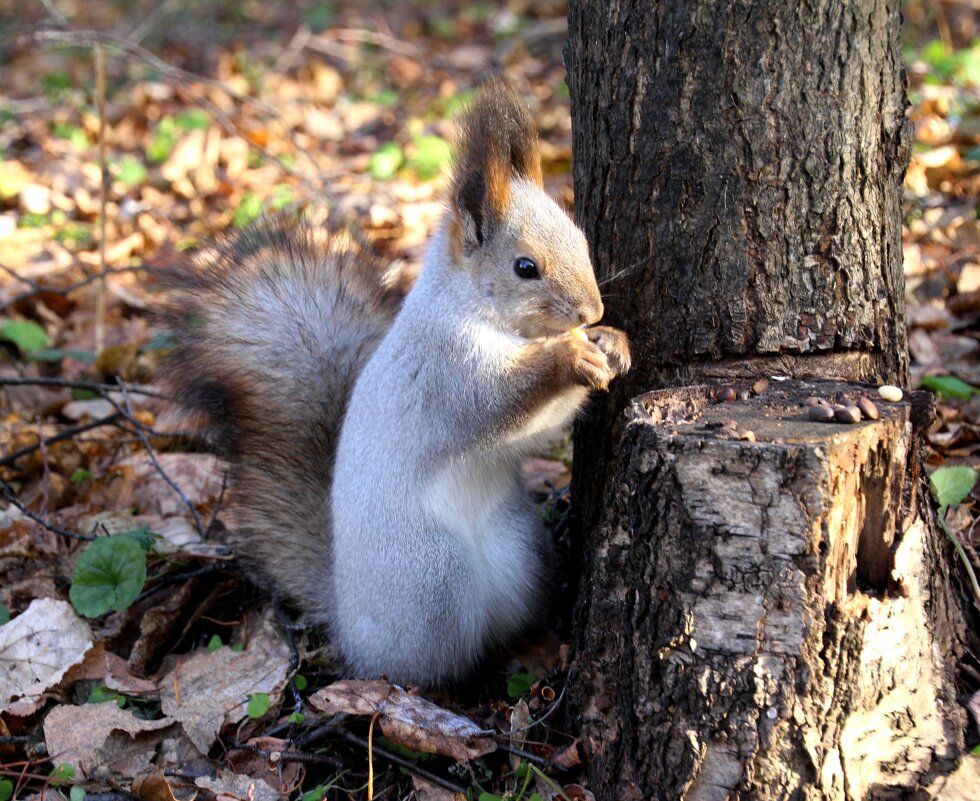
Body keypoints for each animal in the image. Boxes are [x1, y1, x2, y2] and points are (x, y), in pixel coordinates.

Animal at [164, 79, 632, 680]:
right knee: (429, 663)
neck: (479, 313)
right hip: (432, 578)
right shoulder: (445, 370)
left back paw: (531, 646)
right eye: (525, 268)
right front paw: (568, 356)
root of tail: (349, 622)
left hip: (521, 548)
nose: (591, 311)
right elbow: (496, 404)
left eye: (580, 239)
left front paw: (611, 343)